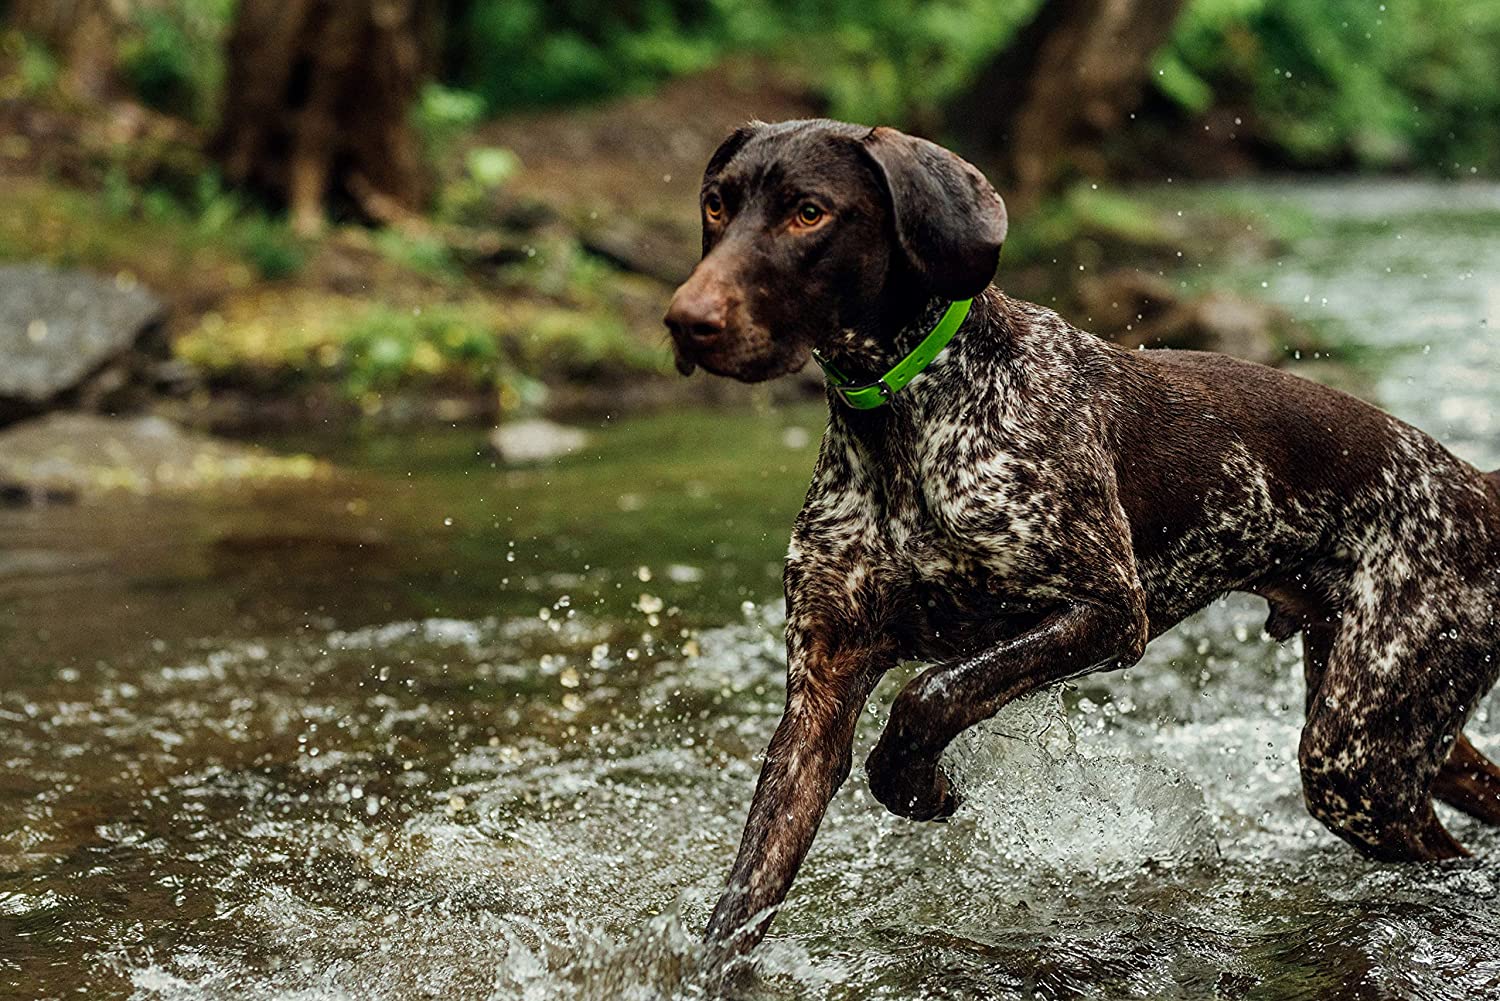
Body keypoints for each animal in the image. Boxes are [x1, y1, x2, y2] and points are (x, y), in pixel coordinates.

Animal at [666, 121, 1500, 960]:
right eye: (715, 204)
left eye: (809, 213)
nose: (684, 320)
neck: (903, 416)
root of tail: (1480, 487)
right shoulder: (822, 688)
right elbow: (744, 899)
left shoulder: (1107, 613)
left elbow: (929, 693)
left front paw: (916, 782)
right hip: (1391, 721)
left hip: (1354, 756)